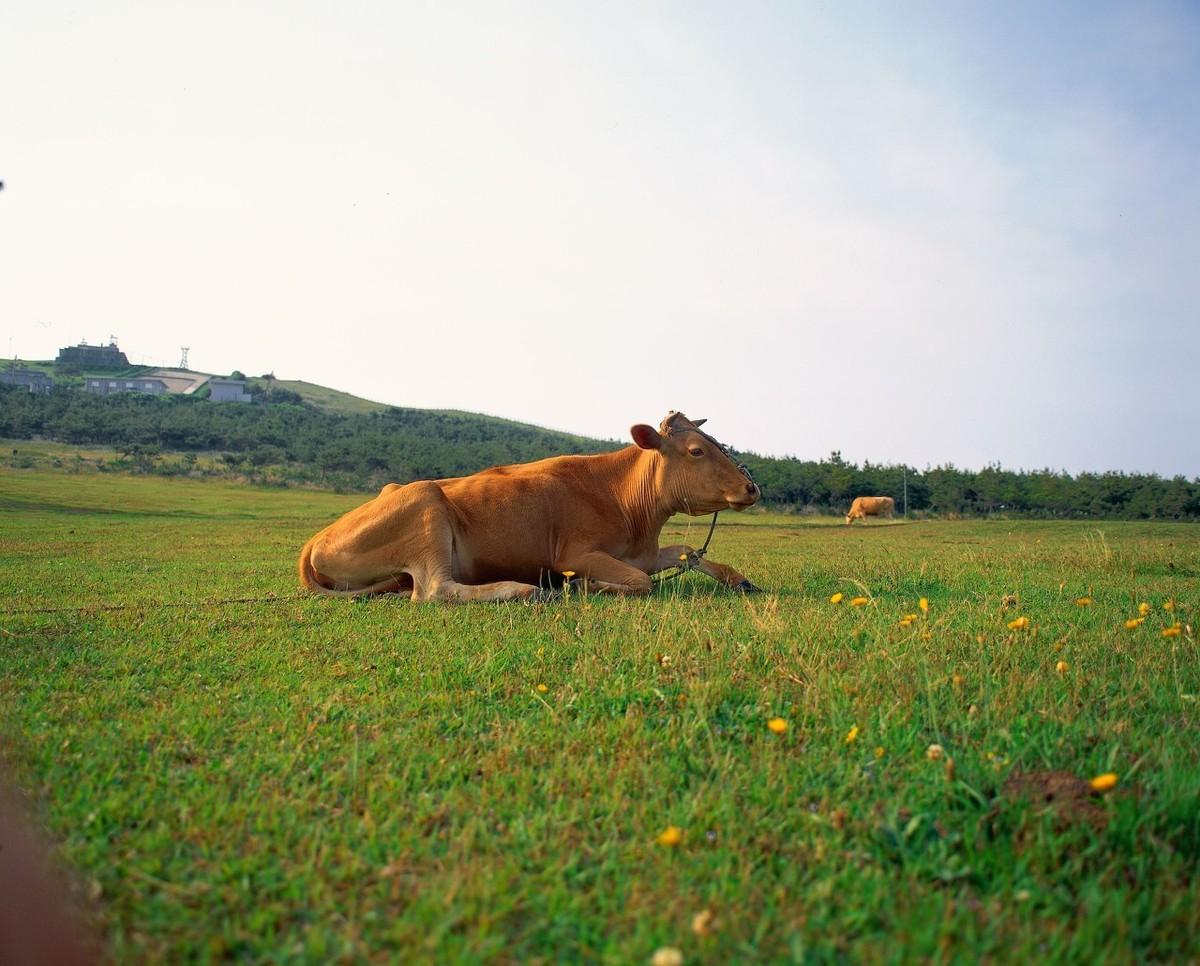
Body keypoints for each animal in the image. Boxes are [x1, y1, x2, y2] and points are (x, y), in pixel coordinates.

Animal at [298, 410, 758, 600]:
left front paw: (738, 579)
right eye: (697, 451)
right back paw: (523, 590)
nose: (751, 487)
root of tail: (315, 541)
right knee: (433, 590)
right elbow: (641, 582)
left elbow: (687, 552)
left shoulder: (643, 552)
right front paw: (583, 585)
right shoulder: (576, 553)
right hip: (426, 503)